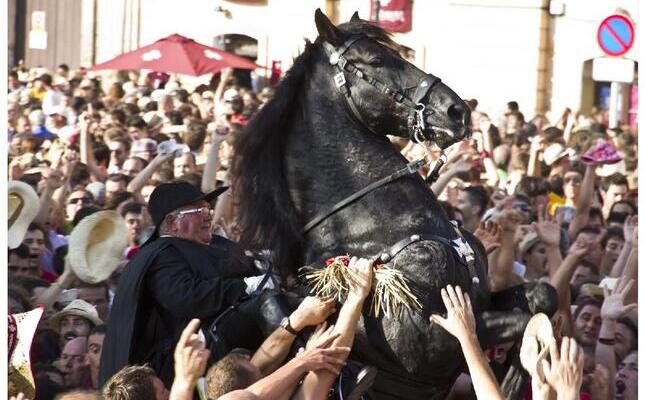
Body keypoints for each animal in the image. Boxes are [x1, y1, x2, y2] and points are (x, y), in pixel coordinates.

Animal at [234, 10, 556, 400]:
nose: (457, 111)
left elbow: (542, 298)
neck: (374, 222)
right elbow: (272, 304)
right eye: (375, 60)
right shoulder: (418, 338)